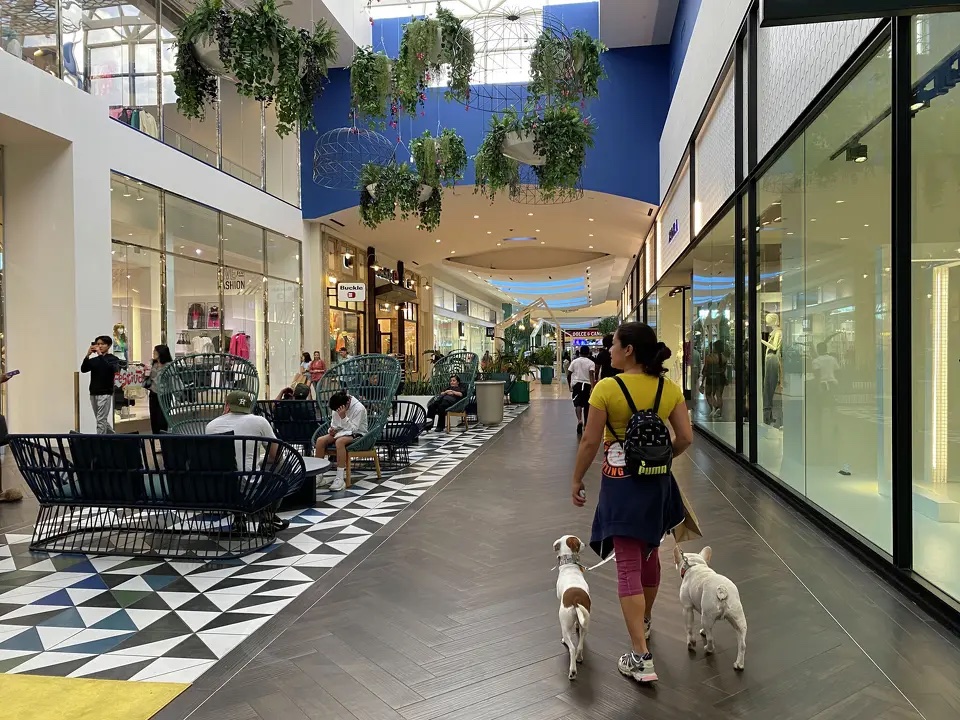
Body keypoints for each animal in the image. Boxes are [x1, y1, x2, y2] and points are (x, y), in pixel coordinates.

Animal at [554, 535, 591, 680]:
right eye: (579, 542)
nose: (586, 544)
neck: (569, 564)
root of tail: (575, 600)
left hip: (564, 625)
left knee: (572, 648)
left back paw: (573, 671)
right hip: (585, 623)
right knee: (580, 645)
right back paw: (579, 658)